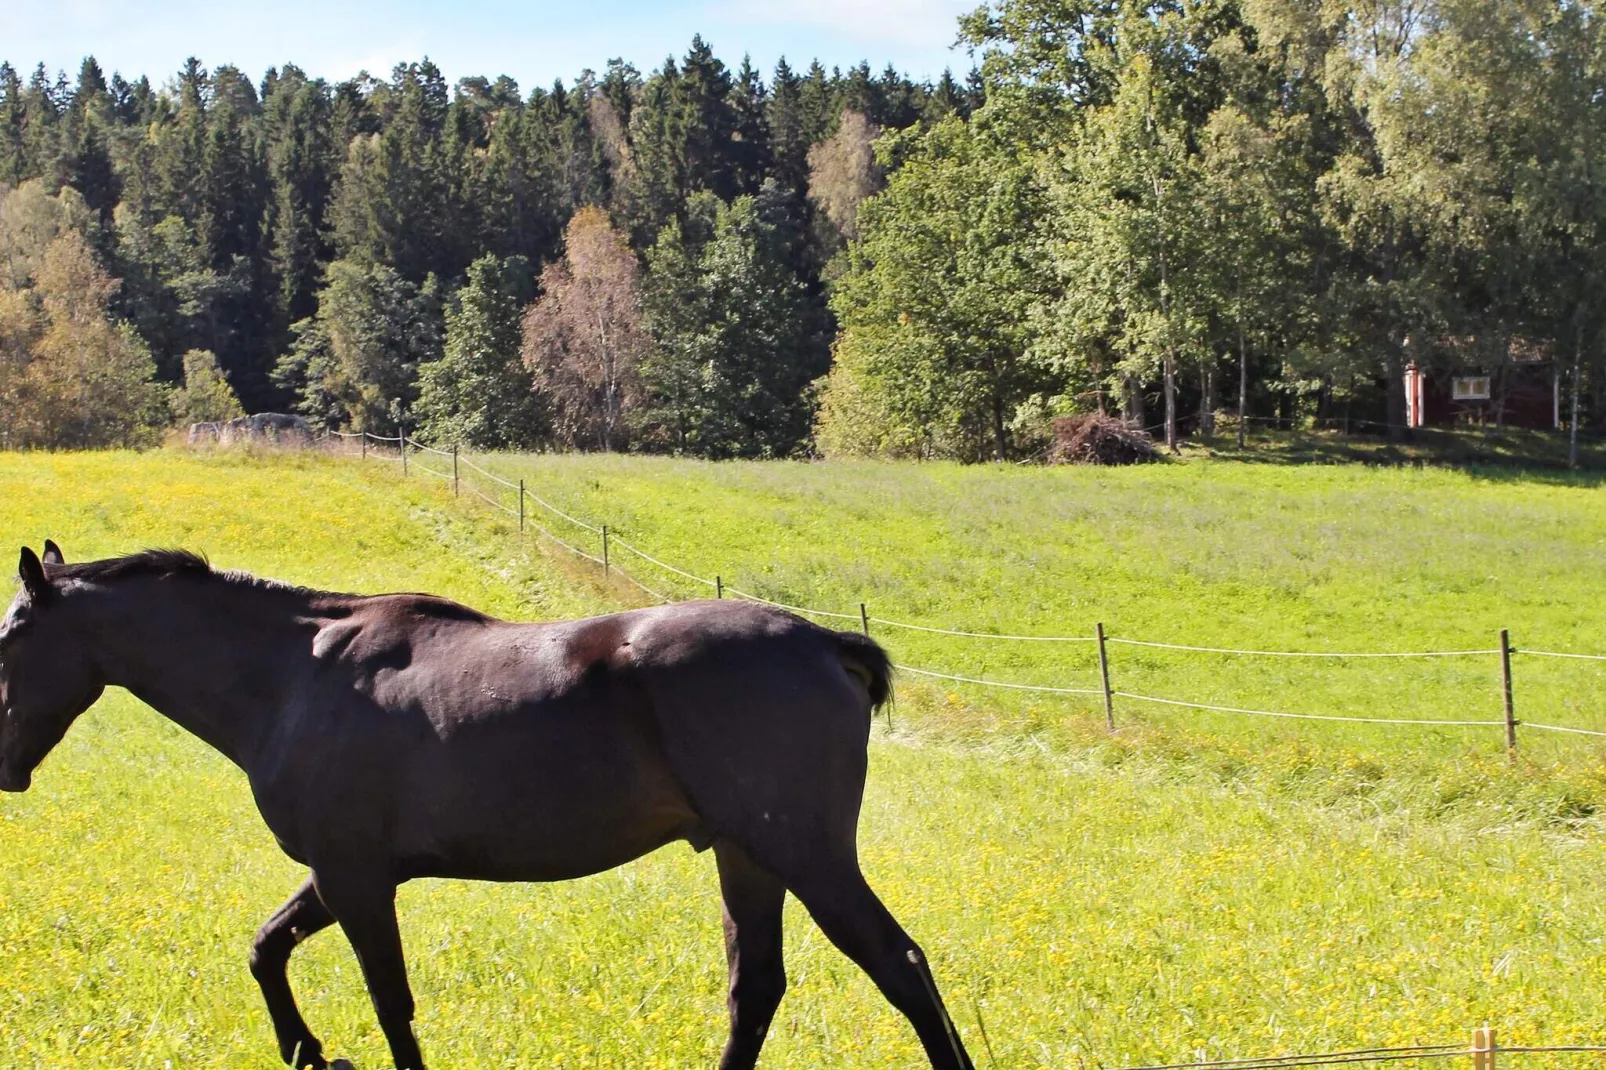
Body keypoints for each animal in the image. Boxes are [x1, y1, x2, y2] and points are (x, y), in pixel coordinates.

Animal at [0, 546, 970, 1060]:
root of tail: (826, 644)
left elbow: (390, 1003)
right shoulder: (342, 874)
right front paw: (307, 1051)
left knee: (899, 966)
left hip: (807, 856)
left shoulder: (355, 880)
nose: (4, 765)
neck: (294, 676)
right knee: (757, 988)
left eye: (10, 636)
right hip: (748, 857)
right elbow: (265, 950)